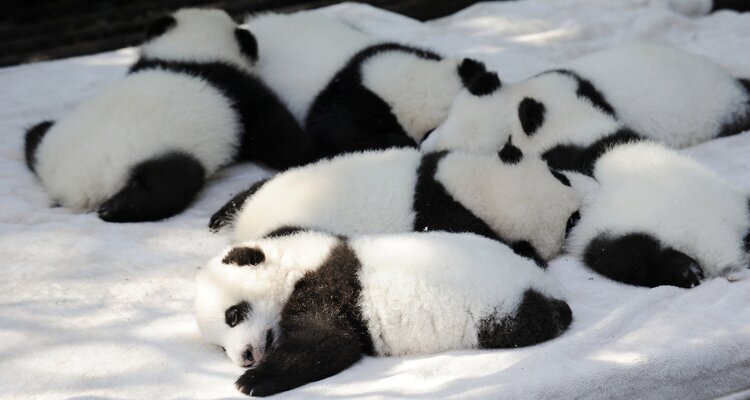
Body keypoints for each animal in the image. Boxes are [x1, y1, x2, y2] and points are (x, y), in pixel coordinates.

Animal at [23, 8, 308, 222]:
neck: (192, 52)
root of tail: (73, 187)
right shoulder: (240, 93)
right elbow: (276, 132)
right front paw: (304, 151)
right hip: (154, 156)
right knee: (171, 181)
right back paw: (116, 209)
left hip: (50, 142)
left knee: (34, 135)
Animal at [195, 230, 572, 396]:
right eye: (220, 347)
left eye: (233, 315)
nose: (245, 356)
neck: (296, 264)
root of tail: (545, 285)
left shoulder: (330, 286)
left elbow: (327, 343)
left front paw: (253, 381)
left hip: (499, 310)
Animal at [209, 147, 581, 267]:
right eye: (571, 222)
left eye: (560, 176)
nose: (580, 204)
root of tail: (246, 224)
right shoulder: (448, 217)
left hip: (278, 183)